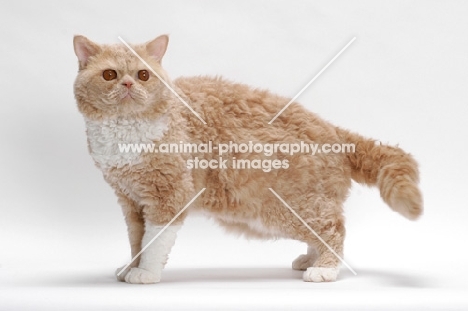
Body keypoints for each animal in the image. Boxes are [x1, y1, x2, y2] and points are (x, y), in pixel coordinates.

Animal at [73, 34, 424, 286]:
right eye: (109, 74)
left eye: (143, 74)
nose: (128, 83)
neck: (124, 134)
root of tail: (332, 129)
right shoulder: (130, 201)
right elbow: (136, 241)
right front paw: (129, 267)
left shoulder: (167, 198)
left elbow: (153, 242)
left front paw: (146, 273)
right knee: (321, 230)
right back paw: (310, 259)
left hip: (291, 207)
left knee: (332, 229)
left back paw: (324, 268)